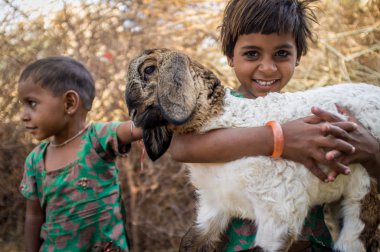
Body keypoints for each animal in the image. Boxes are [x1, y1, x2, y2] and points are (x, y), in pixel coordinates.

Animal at [125, 47, 380, 252]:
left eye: (149, 69)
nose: (133, 116)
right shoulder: (213, 205)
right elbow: (191, 241)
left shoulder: (278, 212)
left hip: (363, 196)